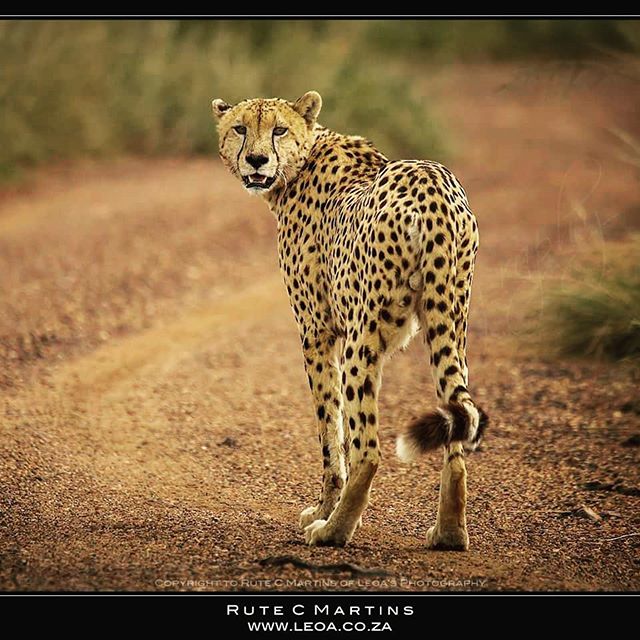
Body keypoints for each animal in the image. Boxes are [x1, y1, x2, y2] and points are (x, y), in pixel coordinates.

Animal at [212, 91, 489, 549]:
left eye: (279, 129)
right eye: (240, 128)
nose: (255, 160)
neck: (301, 161)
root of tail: (430, 182)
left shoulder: (317, 331)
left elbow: (329, 429)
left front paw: (322, 509)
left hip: (365, 338)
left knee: (368, 448)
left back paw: (334, 530)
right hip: (449, 320)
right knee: (456, 430)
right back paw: (449, 532)